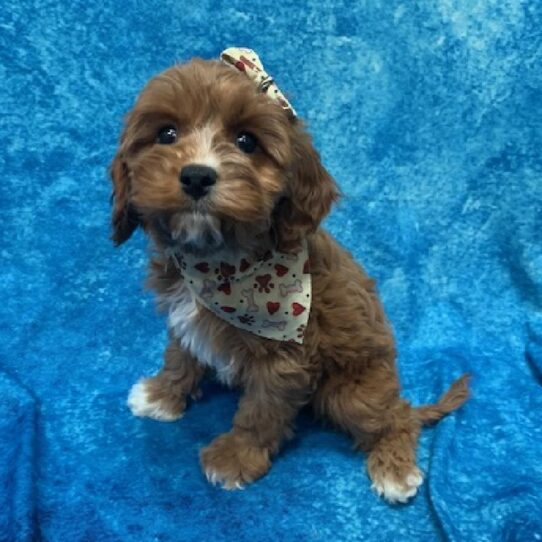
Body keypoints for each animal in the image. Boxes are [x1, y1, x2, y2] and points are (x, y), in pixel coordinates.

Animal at [109, 49, 468, 504]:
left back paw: (395, 469)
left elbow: (261, 412)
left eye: (247, 142)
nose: (196, 175)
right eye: (167, 133)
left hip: (353, 392)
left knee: (396, 417)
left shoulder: (285, 361)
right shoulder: (182, 316)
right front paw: (162, 394)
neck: (221, 263)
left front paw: (235, 457)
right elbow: (180, 356)